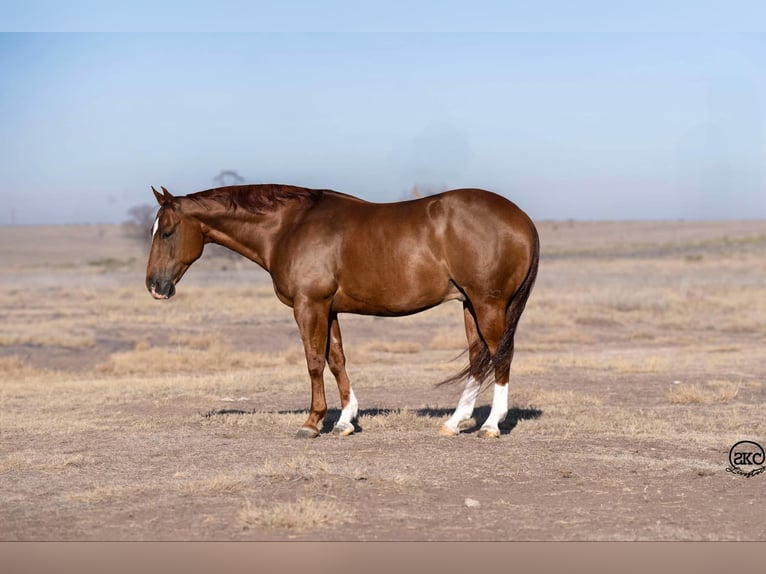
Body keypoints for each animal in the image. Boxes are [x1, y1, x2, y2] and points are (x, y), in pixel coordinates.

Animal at [144, 184, 540, 440]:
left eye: (166, 232)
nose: (154, 286)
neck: (289, 226)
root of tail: (524, 219)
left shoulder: (309, 305)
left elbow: (313, 362)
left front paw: (311, 423)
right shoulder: (329, 309)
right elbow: (336, 360)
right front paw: (345, 421)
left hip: (488, 304)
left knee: (501, 356)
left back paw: (490, 426)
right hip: (470, 305)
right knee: (478, 359)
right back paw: (454, 423)